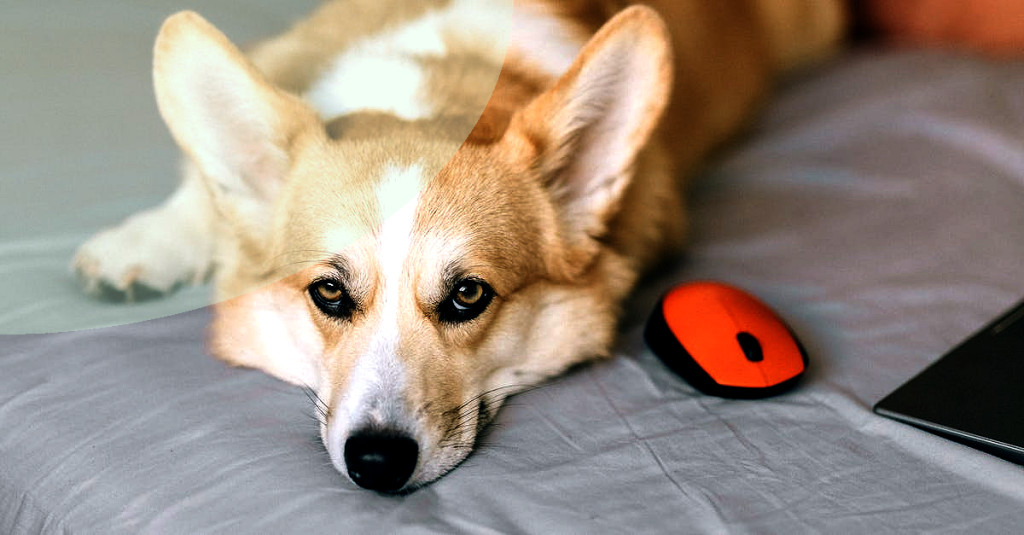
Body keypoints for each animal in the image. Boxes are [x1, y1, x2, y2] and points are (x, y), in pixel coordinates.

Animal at [70, 0, 839, 491]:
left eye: (468, 294)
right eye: (329, 290)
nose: (377, 466)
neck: (437, 82)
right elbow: (200, 194)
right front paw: (145, 241)